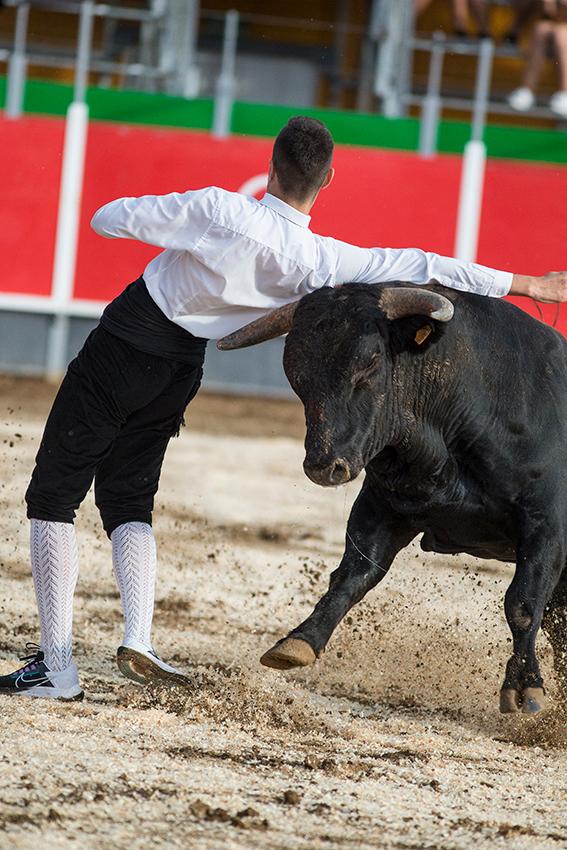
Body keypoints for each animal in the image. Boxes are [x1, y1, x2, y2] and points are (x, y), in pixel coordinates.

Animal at [217, 282, 567, 712]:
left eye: (369, 363)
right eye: (296, 375)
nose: (322, 466)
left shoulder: (545, 524)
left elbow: (523, 603)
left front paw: (524, 687)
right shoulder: (381, 508)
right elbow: (353, 574)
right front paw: (300, 640)